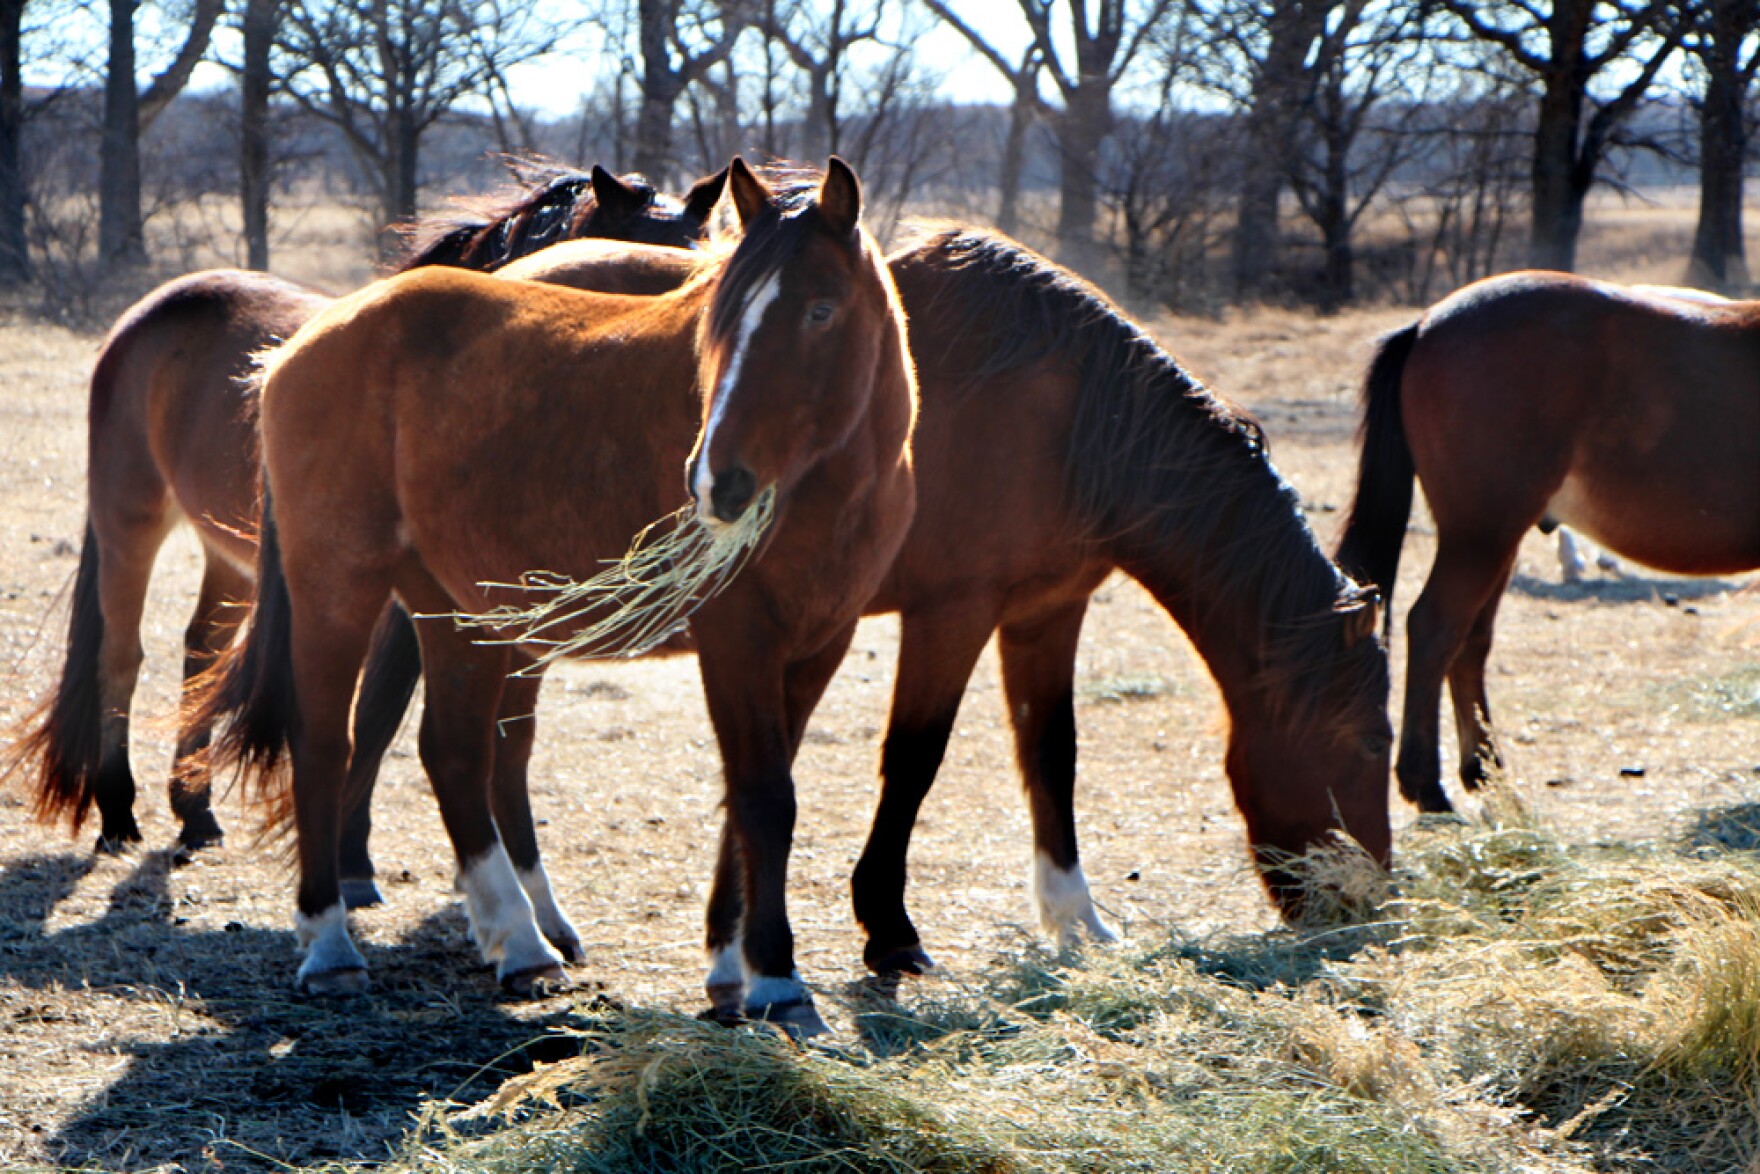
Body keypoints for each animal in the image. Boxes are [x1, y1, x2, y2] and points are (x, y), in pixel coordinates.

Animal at [3, 165, 726, 856]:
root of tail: (143, 317)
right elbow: (374, 714)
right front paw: (347, 857)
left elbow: (383, 714)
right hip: (130, 522)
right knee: (120, 657)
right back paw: (118, 811)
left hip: (230, 556)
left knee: (202, 649)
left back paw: (196, 810)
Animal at [194, 158, 916, 1034]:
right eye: (720, 318)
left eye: (820, 310)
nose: (718, 481)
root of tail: (305, 341)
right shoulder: (738, 645)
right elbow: (765, 800)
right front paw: (776, 978)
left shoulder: (816, 647)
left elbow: (746, 804)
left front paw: (730, 967)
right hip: (338, 586)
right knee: (326, 743)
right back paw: (331, 943)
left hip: (454, 609)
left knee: (455, 755)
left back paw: (521, 941)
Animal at [349, 223, 1393, 1005]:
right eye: (1370, 743)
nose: (1369, 907)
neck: (1064, 412)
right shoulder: (951, 612)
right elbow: (914, 762)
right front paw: (885, 930)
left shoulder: (1047, 610)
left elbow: (1050, 756)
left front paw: (1074, 916)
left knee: (494, 744)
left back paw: (526, 919)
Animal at [1336, 270, 1760, 814]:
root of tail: (1427, 324)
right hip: (1480, 536)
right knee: (1435, 630)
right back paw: (1427, 785)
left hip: (1497, 540)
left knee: (1470, 642)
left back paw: (1484, 772)